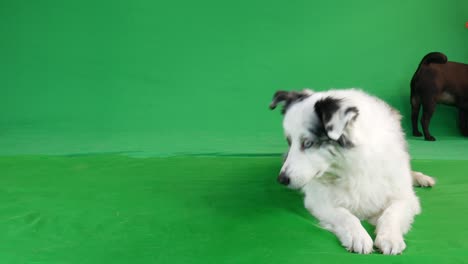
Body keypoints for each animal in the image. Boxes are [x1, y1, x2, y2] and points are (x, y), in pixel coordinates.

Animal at [270, 89, 436, 256]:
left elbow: (391, 213)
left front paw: (390, 237)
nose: (281, 179)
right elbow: (345, 215)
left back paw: (422, 178)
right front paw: (358, 236)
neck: (351, 166)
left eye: (308, 143)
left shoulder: (405, 197)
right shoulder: (317, 200)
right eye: (289, 142)